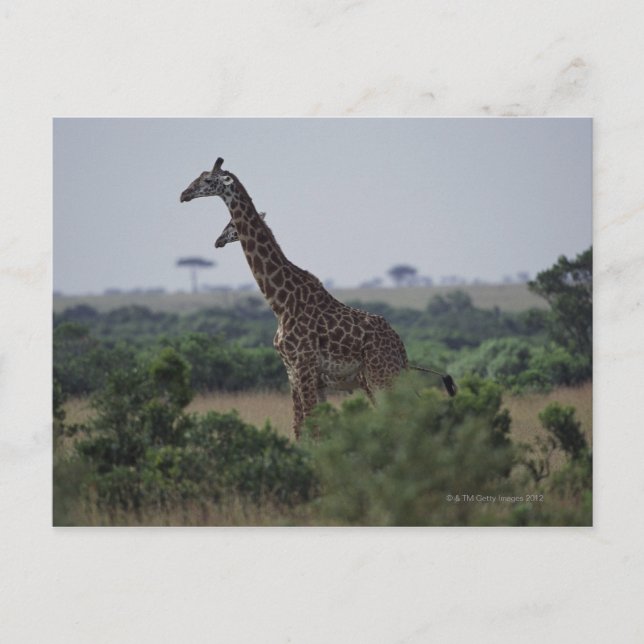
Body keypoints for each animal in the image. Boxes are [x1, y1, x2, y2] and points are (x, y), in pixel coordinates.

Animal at [180, 157, 411, 439]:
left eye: (207, 180)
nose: (184, 194)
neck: (280, 303)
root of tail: (398, 343)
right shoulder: (292, 370)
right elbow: (300, 426)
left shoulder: (303, 365)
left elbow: (312, 425)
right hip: (381, 376)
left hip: (380, 374)